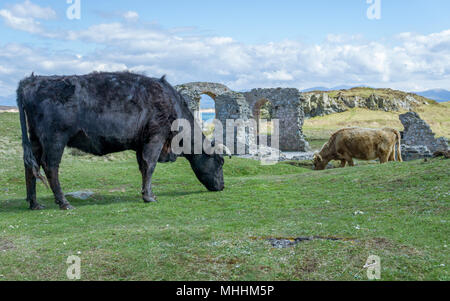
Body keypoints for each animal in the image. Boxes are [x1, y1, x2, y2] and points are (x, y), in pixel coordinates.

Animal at [17, 72, 227, 210]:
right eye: (220, 162)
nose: (222, 186)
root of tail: (32, 80)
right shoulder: (156, 136)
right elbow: (150, 165)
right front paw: (149, 197)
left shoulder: (141, 144)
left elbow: (143, 167)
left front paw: (147, 193)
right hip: (54, 139)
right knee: (50, 166)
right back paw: (63, 202)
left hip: (35, 139)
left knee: (31, 167)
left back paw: (35, 203)